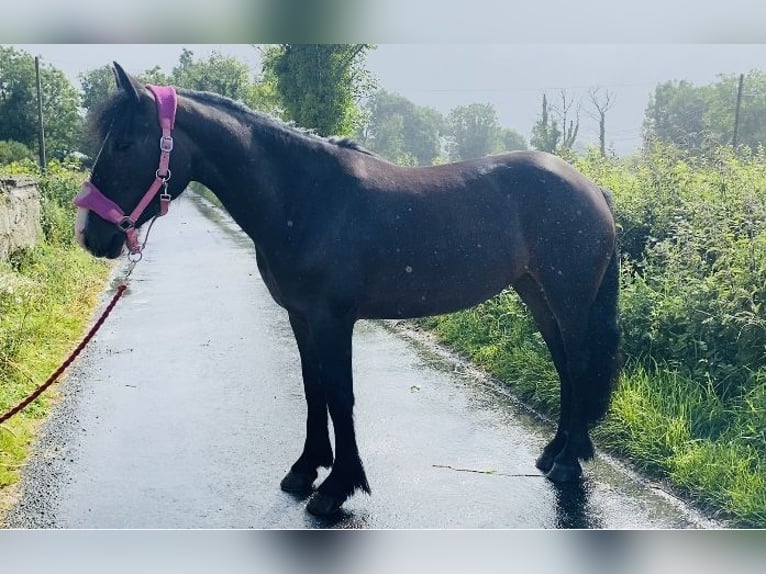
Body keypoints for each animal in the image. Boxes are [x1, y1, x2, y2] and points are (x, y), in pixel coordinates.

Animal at [75, 63, 620, 516]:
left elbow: (340, 394)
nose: (91, 234)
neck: (305, 197)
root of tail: (591, 187)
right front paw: (305, 470)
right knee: (566, 365)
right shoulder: (300, 317)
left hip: (568, 299)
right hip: (537, 294)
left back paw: (568, 462)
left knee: (580, 363)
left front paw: (337, 488)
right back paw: (555, 452)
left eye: (123, 143)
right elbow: (313, 387)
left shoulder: (333, 320)